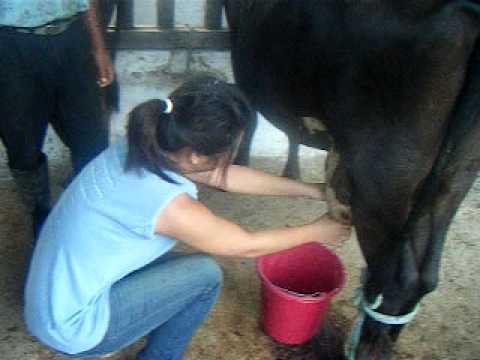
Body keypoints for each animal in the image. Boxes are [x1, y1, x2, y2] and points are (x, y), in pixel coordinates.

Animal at [224, 1, 480, 358]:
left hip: (384, 172)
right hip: (456, 174)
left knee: (397, 278)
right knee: (425, 274)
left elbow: (252, 118)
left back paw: (366, 347)